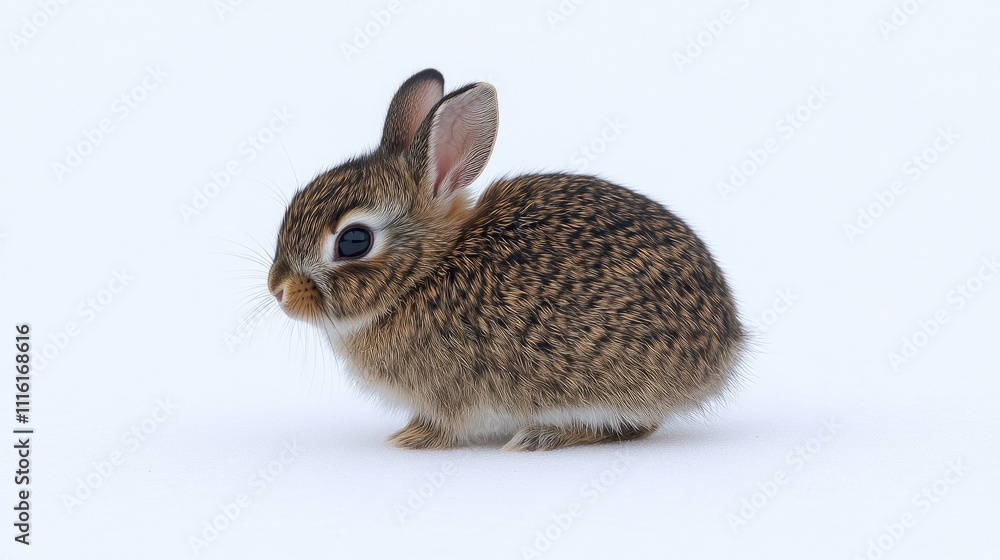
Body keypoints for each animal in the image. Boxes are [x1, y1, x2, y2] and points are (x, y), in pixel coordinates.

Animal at [267, 69, 745, 451]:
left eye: (353, 241)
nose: (279, 291)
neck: (426, 274)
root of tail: (726, 346)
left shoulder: (451, 394)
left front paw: (411, 438)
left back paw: (539, 436)